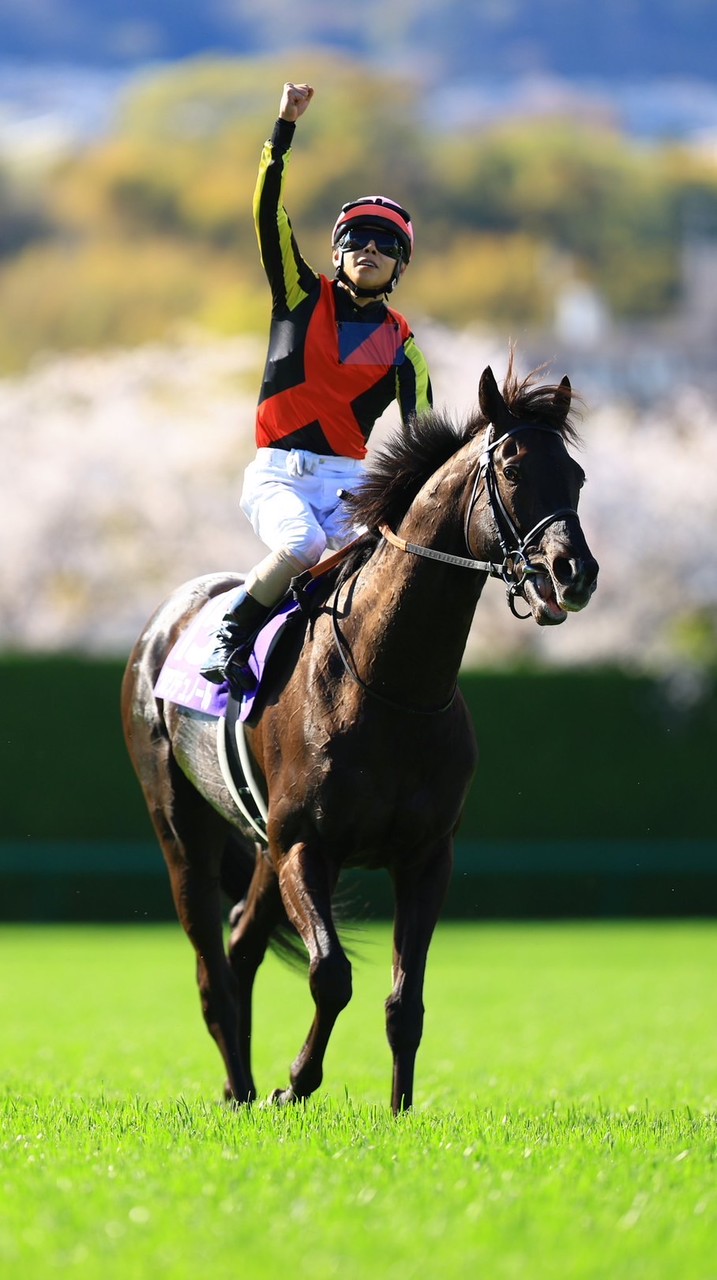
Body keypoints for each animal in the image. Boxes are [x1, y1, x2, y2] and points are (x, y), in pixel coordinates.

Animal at [121, 356, 598, 1113]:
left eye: (576, 476)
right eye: (514, 467)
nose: (572, 573)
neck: (391, 684)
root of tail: (165, 621)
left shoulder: (426, 856)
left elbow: (406, 1001)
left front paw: (400, 1109)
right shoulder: (304, 846)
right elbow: (331, 973)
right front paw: (296, 1083)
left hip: (261, 844)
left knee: (241, 943)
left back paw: (242, 1086)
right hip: (183, 831)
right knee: (210, 965)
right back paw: (242, 1087)